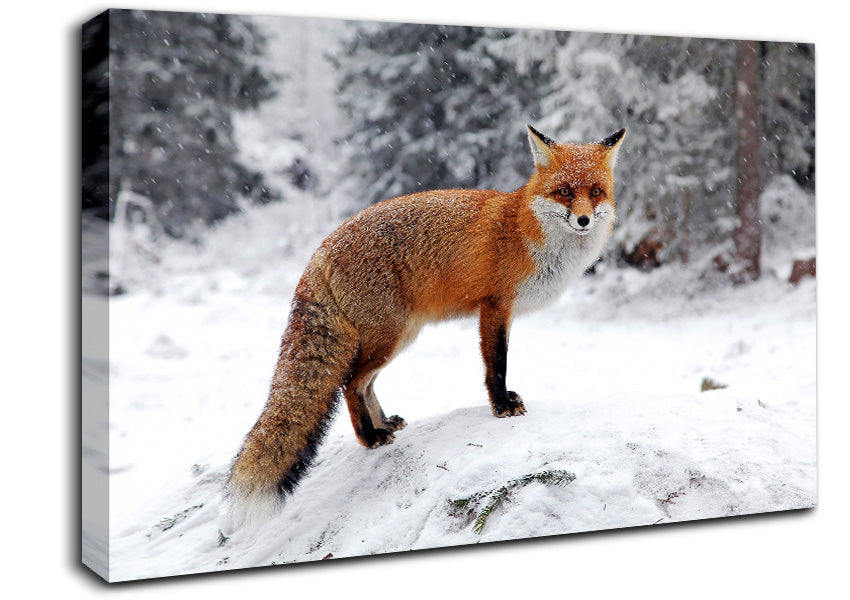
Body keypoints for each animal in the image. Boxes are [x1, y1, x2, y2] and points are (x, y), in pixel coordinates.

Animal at [226, 124, 626, 525]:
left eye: (595, 192)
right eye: (564, 192)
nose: (584, 220)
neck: (526, 231)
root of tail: (321, 250)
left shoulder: (504, 311)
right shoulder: (495, 306)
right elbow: (496, 364)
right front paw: (501, 407)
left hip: (398, 337)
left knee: (366, 385)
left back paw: (384, 425)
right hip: (388, 337)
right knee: (349, 384)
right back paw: (369, 437)